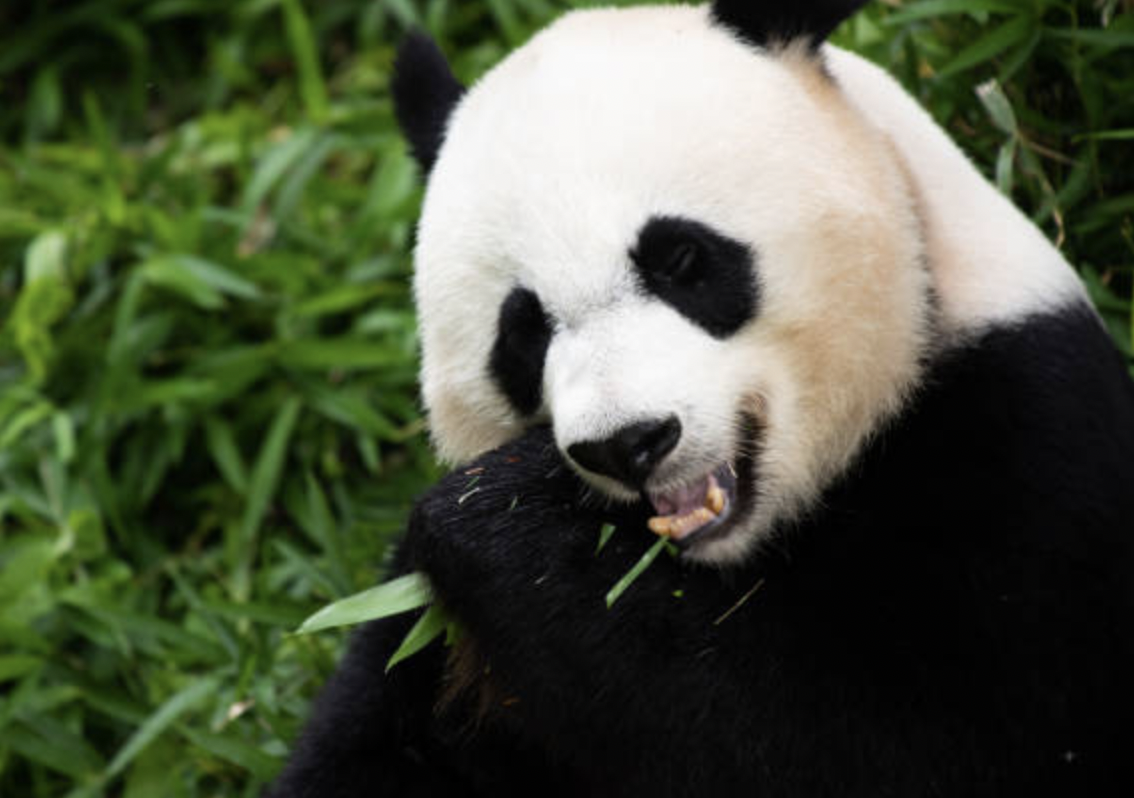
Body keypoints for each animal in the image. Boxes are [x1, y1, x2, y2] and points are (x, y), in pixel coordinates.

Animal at [267, 1, 1134, 793]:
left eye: (681, 258)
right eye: (523, 331)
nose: (627, 443)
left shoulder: (1028, 456)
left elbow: (885, 746)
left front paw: (506, 523)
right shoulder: (424, 637)